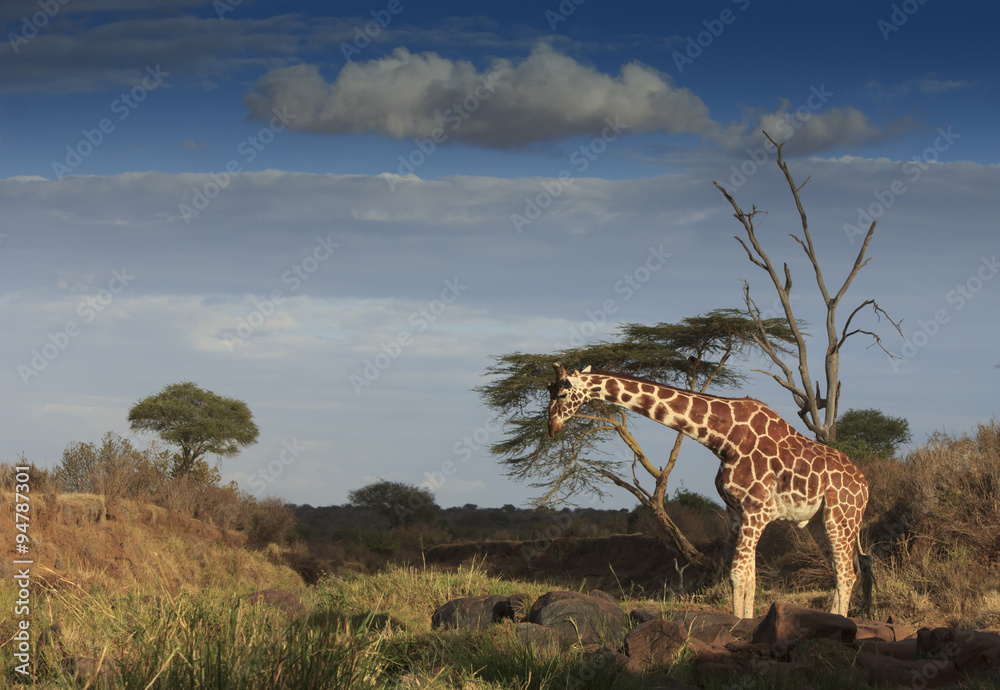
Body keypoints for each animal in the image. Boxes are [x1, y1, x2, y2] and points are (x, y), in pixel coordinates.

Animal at [547, 362, 870, 619]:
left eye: (561, 394)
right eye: (548, 391)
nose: (552, 428)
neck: (724, 437)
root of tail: (865, 486)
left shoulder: (757, 509)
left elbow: (737, 573)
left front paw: (739, 626)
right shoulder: (737, 512)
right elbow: (748, 576)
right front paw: (747, 621)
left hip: (840, 519)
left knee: (847, 573)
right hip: (818, 523)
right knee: (841, 572)